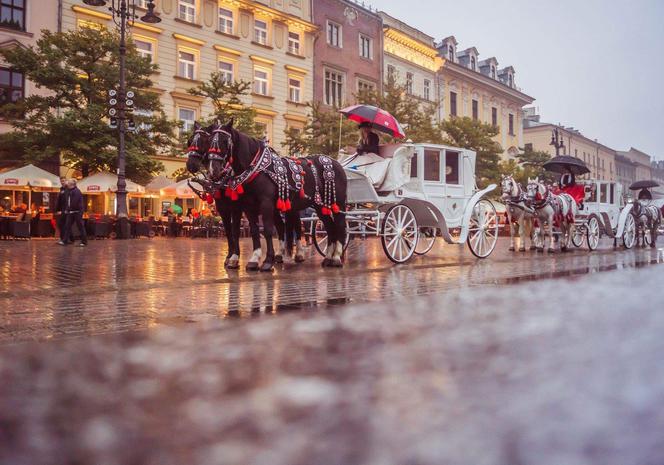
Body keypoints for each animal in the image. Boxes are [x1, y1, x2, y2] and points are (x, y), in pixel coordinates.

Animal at [206, 119, 348, 270]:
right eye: (209, 140)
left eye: (225, 141)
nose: (213, 170)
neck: (256, 169)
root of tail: (336, 163)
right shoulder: (248, 206)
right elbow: (254, 231)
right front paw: (254, 259)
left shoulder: (265, 204)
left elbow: (268, 230)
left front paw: (268, 261)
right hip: (320, 205)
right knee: (330, 227)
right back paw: (328, 258)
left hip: (337, 203)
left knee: (340, 225)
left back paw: (336, 257)